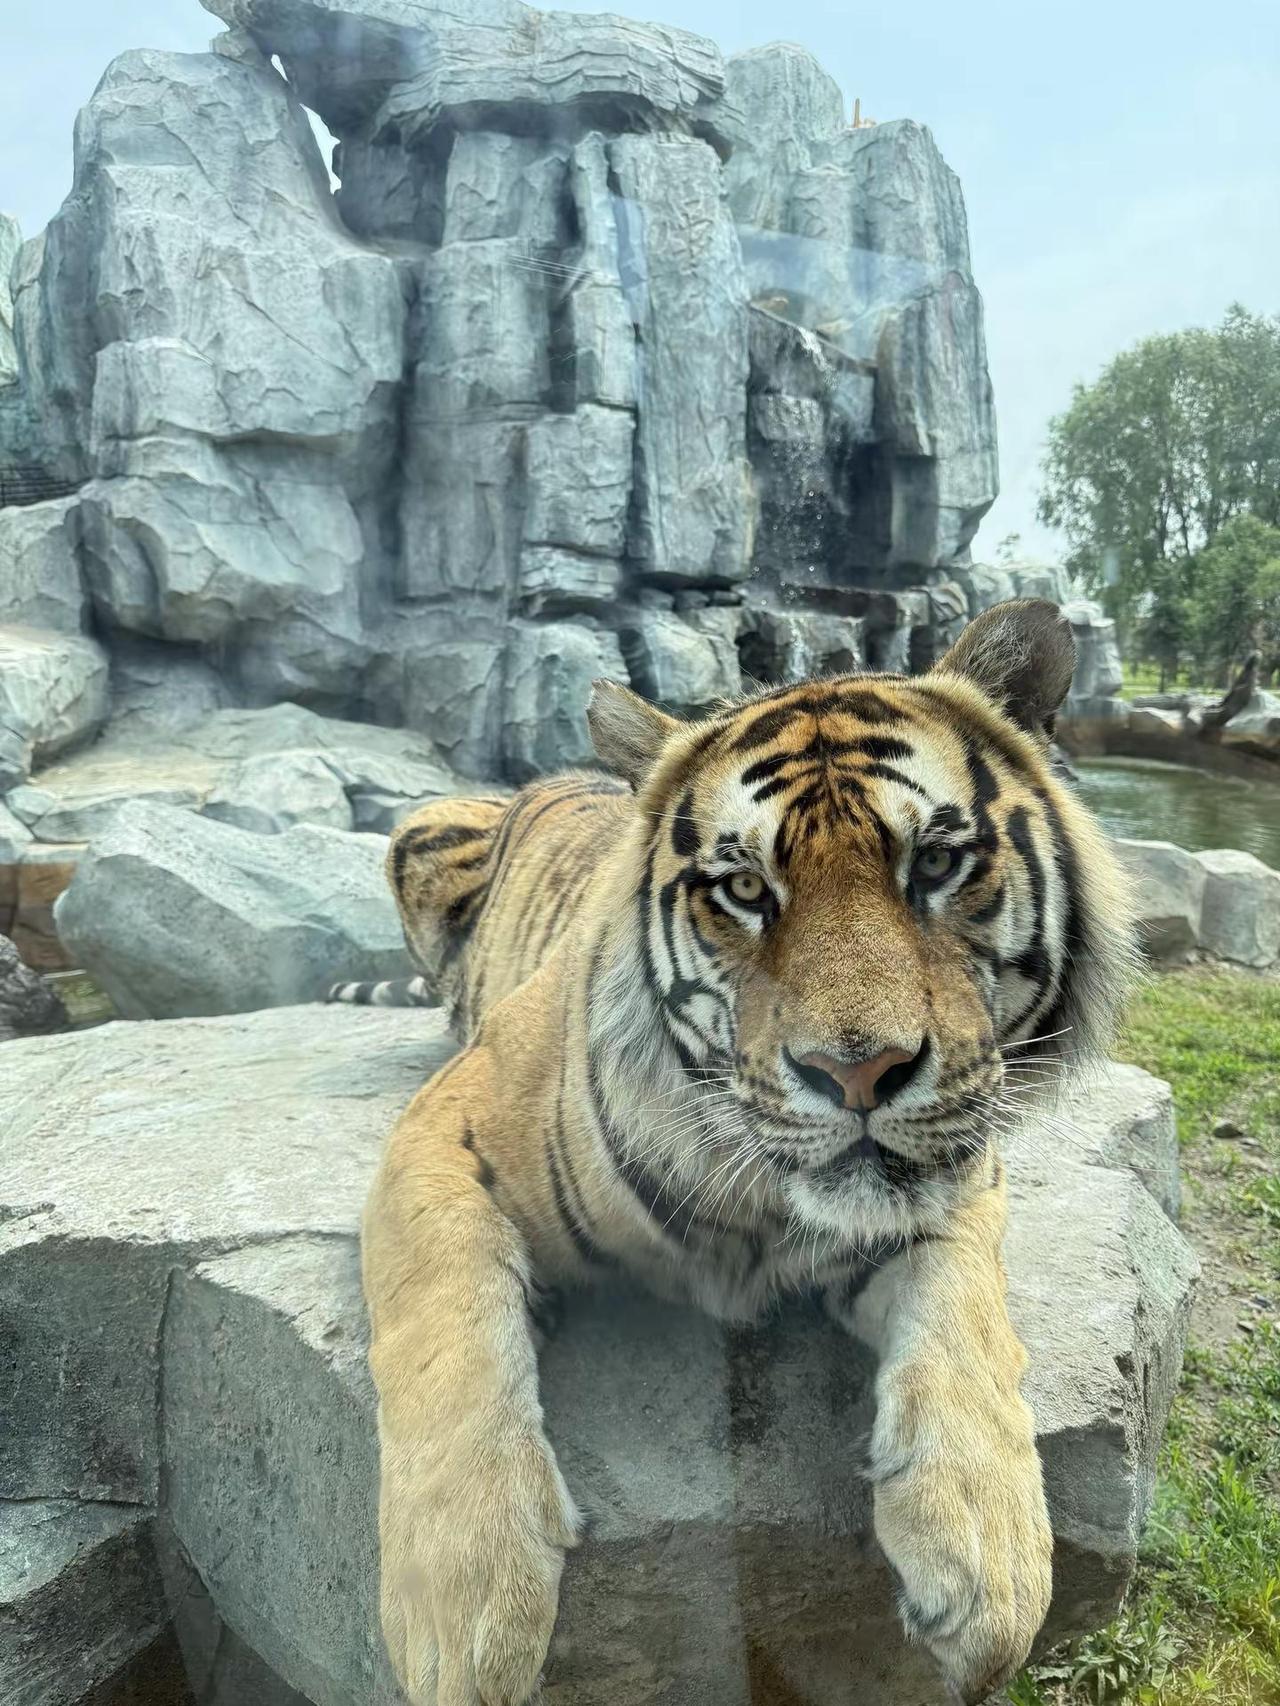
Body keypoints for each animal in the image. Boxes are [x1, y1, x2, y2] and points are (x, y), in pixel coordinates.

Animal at [361, 599, 1136, 1706]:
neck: (759, 1206)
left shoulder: (959, 1171)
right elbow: (447, 1334)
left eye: (936, 864)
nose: (856, 1071)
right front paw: (462, 1618)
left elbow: (968, 1319)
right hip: (420, 826)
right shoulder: (444, 1128)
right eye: (741, 887)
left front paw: (989, 1562)